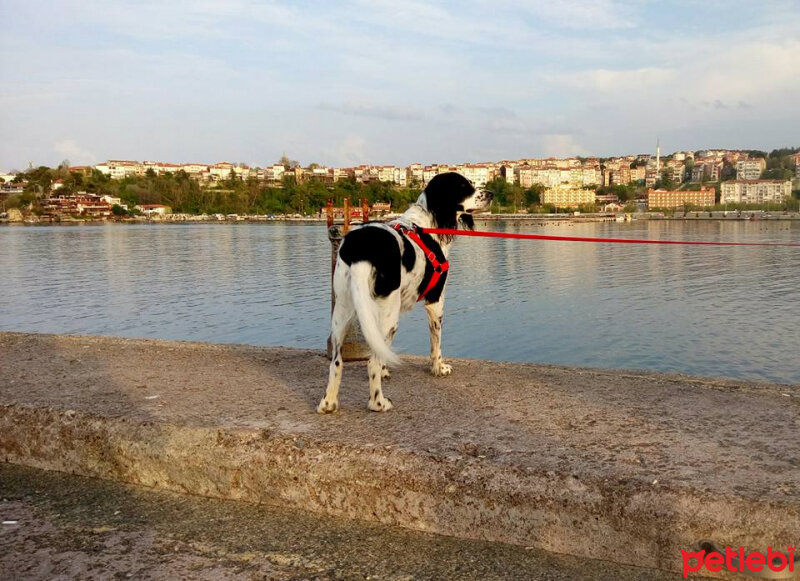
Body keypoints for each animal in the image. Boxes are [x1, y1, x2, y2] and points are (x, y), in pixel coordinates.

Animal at [318, 172, 494, 412]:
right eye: (463, 186)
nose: (491, 194)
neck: (427, 224)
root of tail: (361, 247)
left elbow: (383, 347)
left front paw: (386, 370)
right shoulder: (435, 301)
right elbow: (436, 342)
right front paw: (438, 368)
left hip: (343, 313)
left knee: (337, 362)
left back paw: (328, 403)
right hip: (387, 314)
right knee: (371, 363)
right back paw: (379, 403)